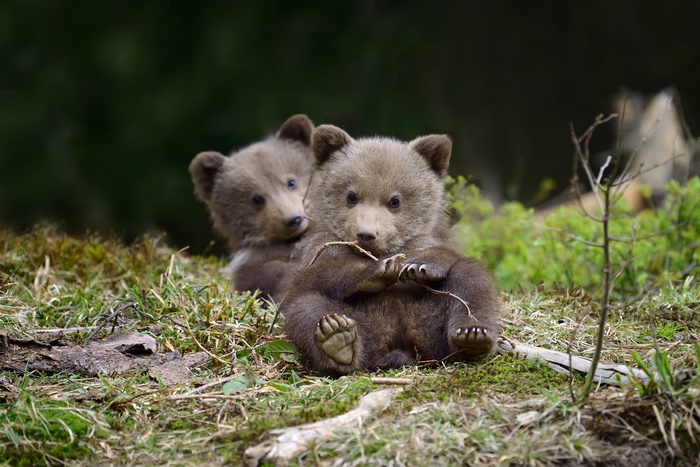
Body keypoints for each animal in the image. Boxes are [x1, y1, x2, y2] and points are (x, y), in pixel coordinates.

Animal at [280, 124, 503, 377]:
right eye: (351, 196)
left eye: (395, 200)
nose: (366, 233)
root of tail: (400, 343)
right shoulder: (319, 249)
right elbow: (320, 275)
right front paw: (378, 272)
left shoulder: (427, 240)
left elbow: (444, 255)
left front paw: (419, 267)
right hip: (363, 321)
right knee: (307, 308)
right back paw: (337, 339)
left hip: (430, 319)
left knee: (471, 278)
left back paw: (472, 336)